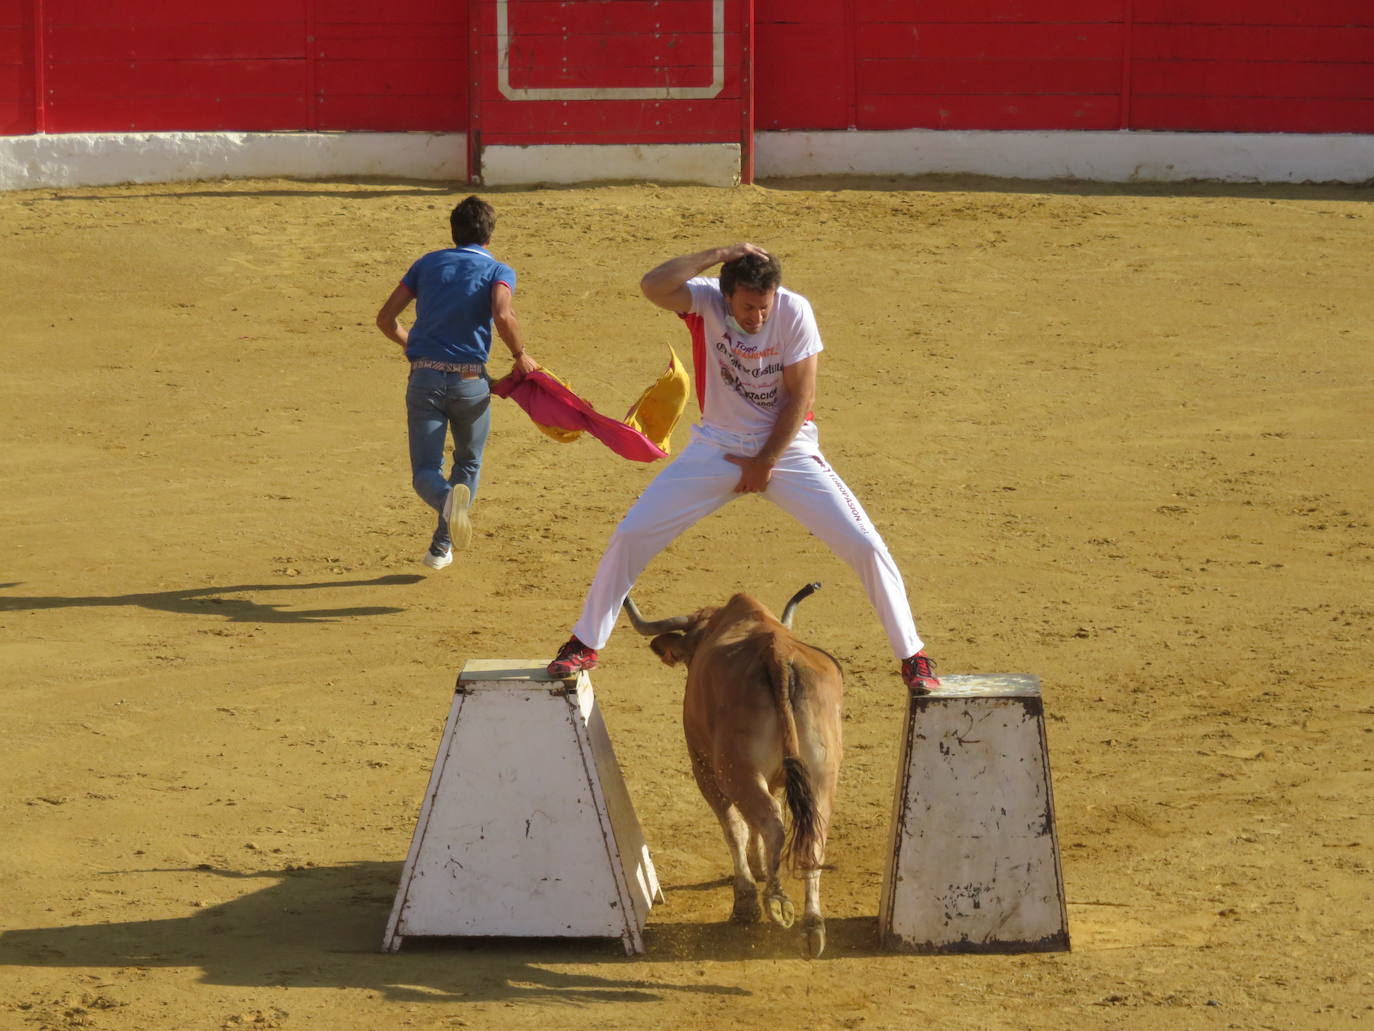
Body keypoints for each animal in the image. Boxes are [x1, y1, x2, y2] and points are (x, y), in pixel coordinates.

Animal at [629, 582, 840, 962]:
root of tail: (777, 654)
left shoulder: (705, 769)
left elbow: (735, 829)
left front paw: (745, 899)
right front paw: (759, 866)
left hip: (733, 770)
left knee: (770, 822)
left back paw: (775, 901)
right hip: (821, 774)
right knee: (811, 837)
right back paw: (812, 925)